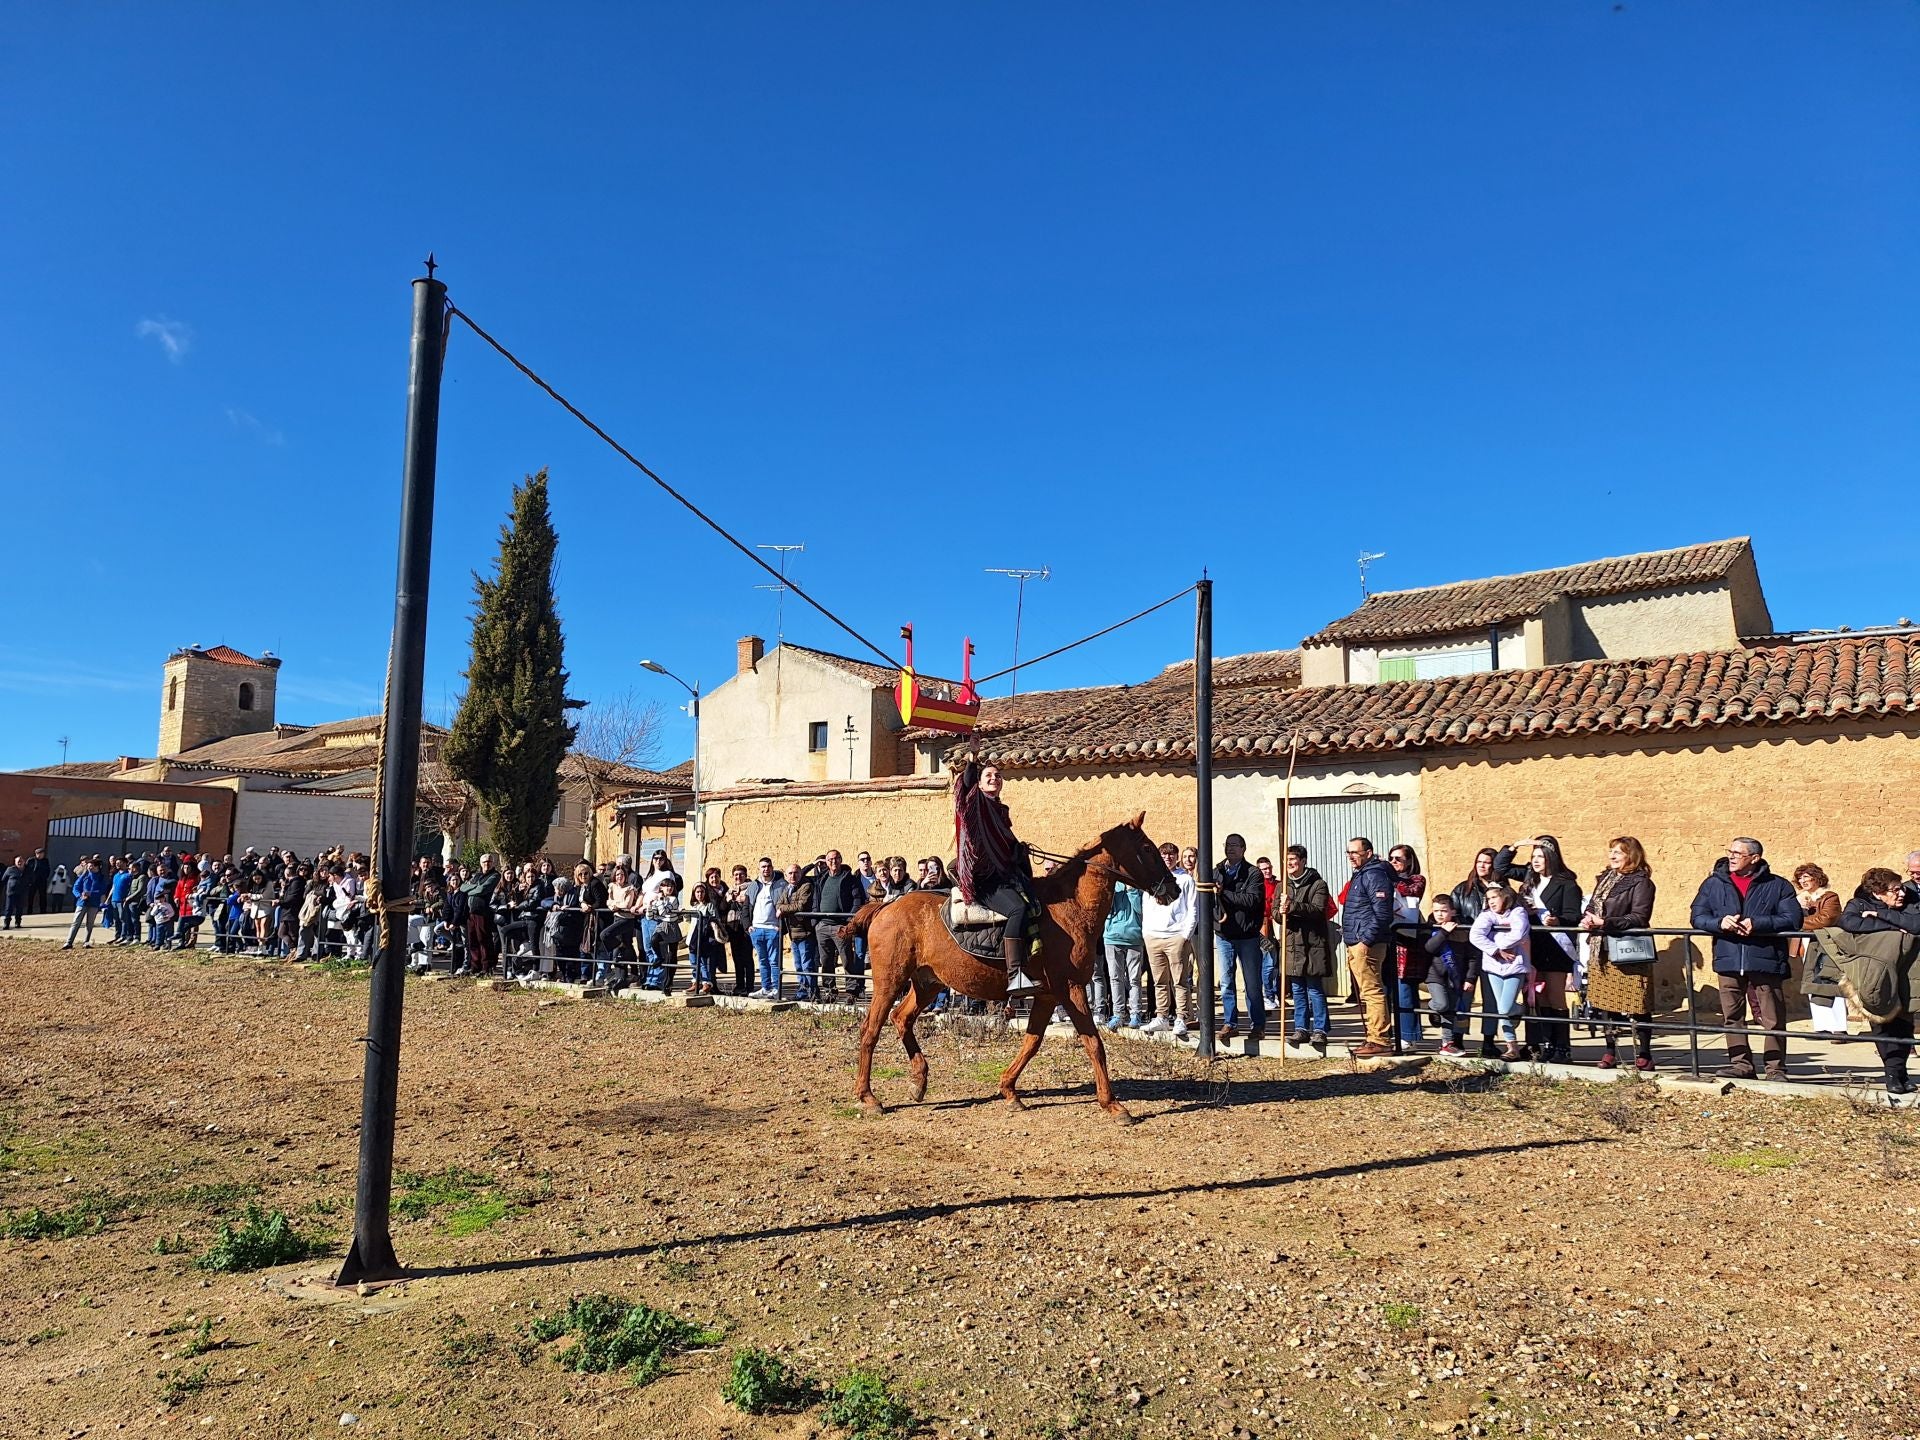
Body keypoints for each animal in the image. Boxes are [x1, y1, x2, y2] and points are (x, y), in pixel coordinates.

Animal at [844, 817, 1175, 1121]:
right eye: (1147, 848)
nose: (1172, 887)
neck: (1071, 909)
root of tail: (887, 907)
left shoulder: (1047, 995)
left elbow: (1032, 1041)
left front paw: (1009, 1090)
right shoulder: (1071, 989)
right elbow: (1093, 1042)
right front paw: (1113, 1105)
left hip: (928, 983)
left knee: (902, 1018)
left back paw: (919, 1082)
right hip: (889, 981)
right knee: (871, 1029)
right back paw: (869, 1097)